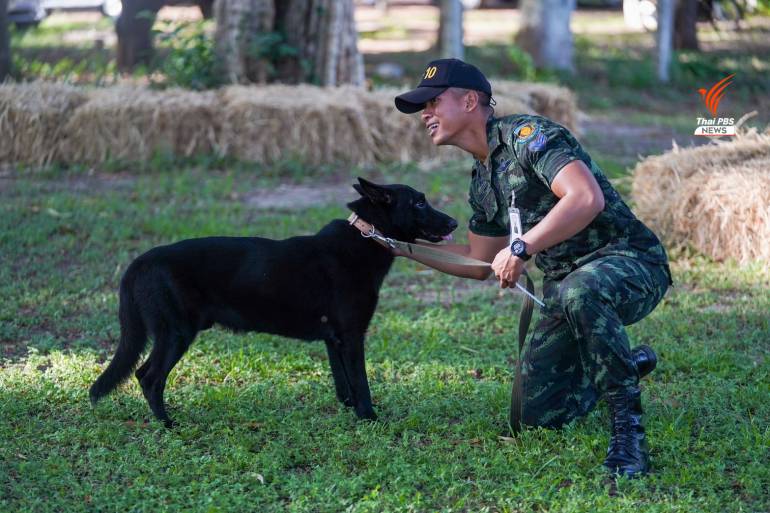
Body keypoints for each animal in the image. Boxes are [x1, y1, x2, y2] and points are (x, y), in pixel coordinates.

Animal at [93, 178, 460, 426]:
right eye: (419, 203)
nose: (456, 222)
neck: (365, 237)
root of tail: (140, 263)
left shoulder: (334, 339)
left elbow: (344, 384)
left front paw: (349, 410)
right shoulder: (352, 336)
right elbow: (361, 382)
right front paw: (368, 417)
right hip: (176, 333)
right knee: (149, 377)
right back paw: (168, 424)